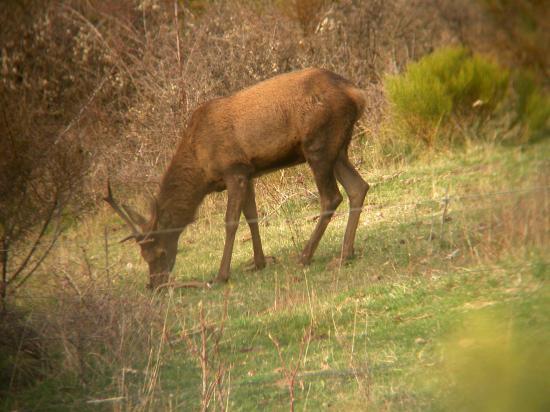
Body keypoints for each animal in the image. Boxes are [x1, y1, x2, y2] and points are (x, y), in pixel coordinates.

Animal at [104, 67, 370, 288]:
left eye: (159, 252)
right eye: (143, 256)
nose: (154, 284)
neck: (201, 167)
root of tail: (356, 93)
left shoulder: (233, 169)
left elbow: (231, 221)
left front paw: (221, 275)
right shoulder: (248, 171)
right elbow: (251, 215)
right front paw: (259, 262)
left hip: (317, 143)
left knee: (331, 197)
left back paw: (305, 256)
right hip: (337, 147)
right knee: (358, 187)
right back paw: (345, 254)